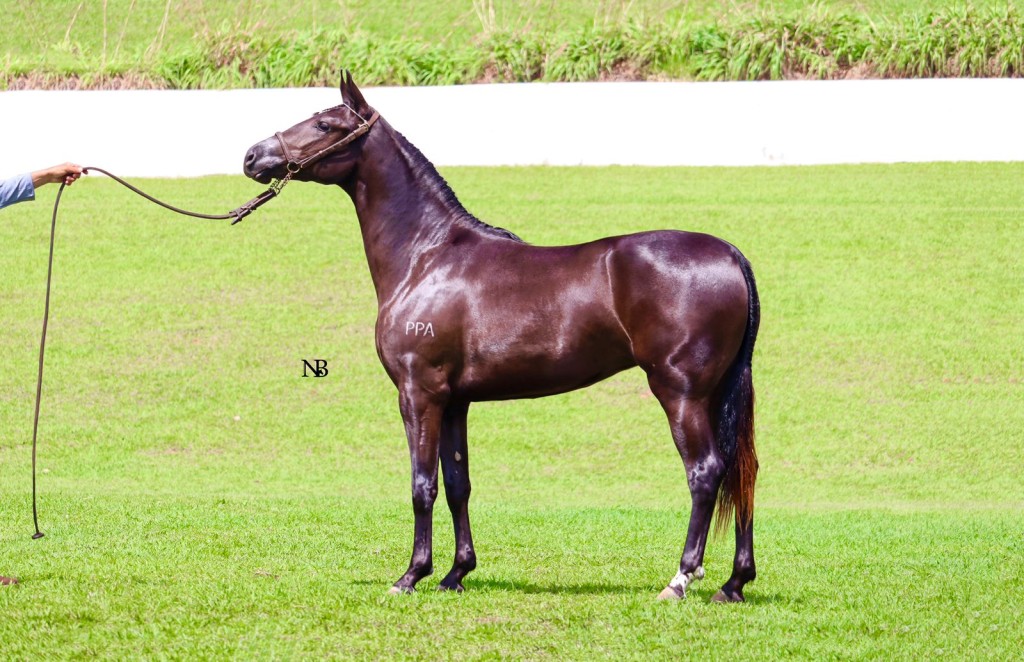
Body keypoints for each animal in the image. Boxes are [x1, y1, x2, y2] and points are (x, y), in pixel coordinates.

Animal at [243, 72, 761, 602]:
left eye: (325, 124)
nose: (253, 156)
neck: (425, 255)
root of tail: (729, 254)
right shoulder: (455, 401)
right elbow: (458, 484)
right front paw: (456, 573)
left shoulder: (419, 393)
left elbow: (422, 484)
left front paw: (411, 575)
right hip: (717, 392)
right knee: (742, 471)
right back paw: (734, 582)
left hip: (680, 392)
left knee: (706, 472)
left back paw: (681, 579)